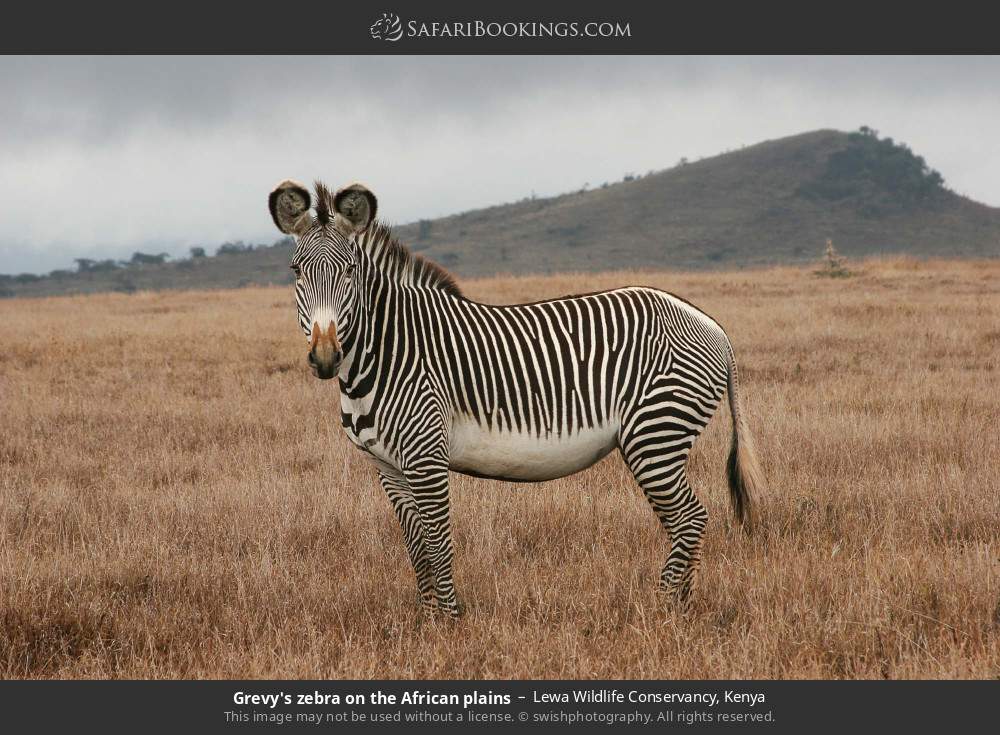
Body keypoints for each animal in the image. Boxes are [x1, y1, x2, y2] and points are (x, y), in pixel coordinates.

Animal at [269, 179, 766, 616]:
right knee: (684, 521)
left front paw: (449, 621)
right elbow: (416, 546)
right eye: (296, 271)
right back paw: (681, 605)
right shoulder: (387, 467)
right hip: (658, 438)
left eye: (350, 271)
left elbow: (438, 541)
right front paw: (425, 618)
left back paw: (663, 607)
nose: (325, 357)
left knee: (690, 519)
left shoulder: (426, 456)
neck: (388, 351)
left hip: (656, 434)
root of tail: (710, 324)